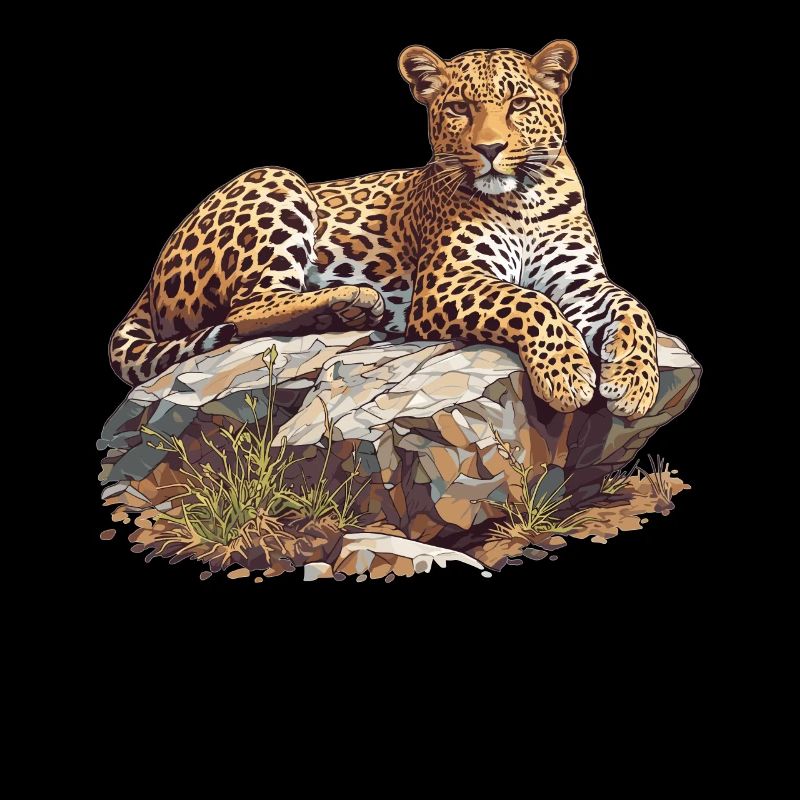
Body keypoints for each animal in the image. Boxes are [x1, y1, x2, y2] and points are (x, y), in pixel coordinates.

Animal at [109, 40, 659, 418]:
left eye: (519, 104)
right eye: (459, 108)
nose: (490, 149)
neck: (524, 198)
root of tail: (149, 282)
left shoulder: (581, 281)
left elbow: (634, 307)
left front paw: (634, 384)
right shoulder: (444, 282)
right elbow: (530, 302)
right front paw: (567, 375)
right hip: (275, 179)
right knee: (247, 308)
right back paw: (352, 302)